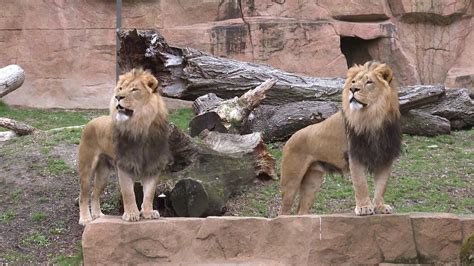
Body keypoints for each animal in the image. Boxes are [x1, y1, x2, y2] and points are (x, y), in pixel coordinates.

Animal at [78, 68, 171, 224]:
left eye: (134, 89)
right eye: (120, 89)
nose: (117, 97)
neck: (140, 127)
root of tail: (92, 121)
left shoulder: (153, 166)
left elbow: (149, 193)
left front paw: (148, 212)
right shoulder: (124, 165)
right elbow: (128, 193)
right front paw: (131, 214)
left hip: (103, 174)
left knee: (94, 193)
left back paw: (98, 215)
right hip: (87, 167)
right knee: (83, 195)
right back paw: (85, 219)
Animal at [280, 61, 402, 216]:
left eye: (369, 82)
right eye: (353, 82)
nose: (353, 89)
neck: (374, 117)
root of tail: (291, 137)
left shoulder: (385, 156)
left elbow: (382, 186)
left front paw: (380, 207)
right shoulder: (355, 155)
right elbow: (360, 183)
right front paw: (364, 208)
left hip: (312, 181)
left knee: (301, 211)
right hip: (291, 180)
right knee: (284, 210)